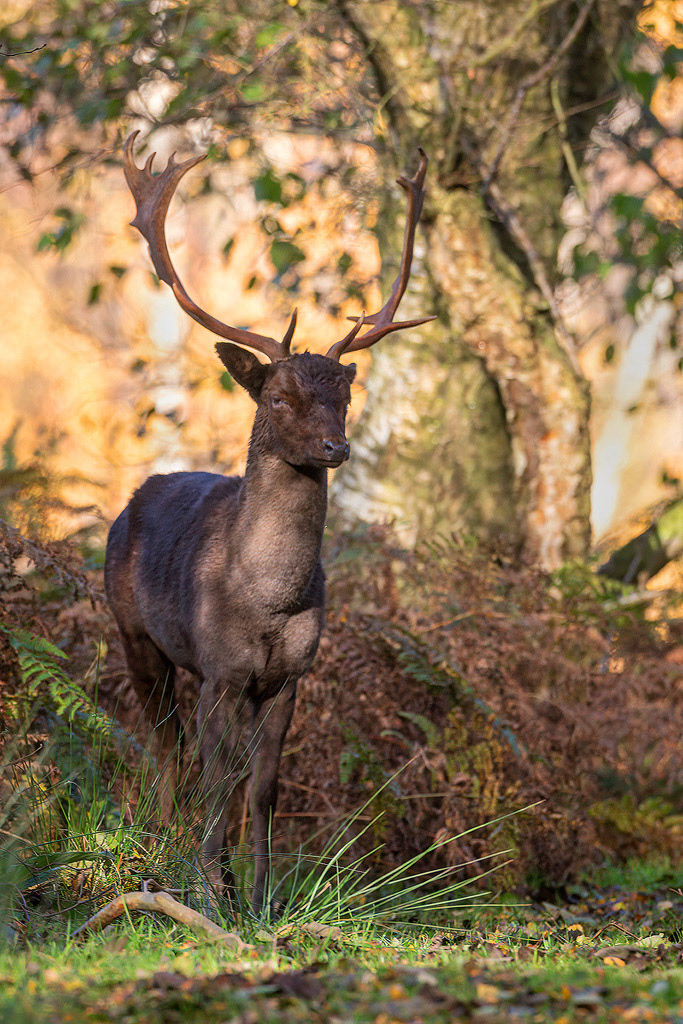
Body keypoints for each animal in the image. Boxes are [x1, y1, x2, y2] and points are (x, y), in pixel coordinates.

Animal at [104, 130, 434, 915]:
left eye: (345, 394)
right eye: (279, 396)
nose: (335, 448)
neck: (269, 597)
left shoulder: (288, 678)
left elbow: (262, 788)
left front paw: (260, 899)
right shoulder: (221, 669)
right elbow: (219, 782)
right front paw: (207, 889)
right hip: (134, 631)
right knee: (167, 749)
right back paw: (164, 848)